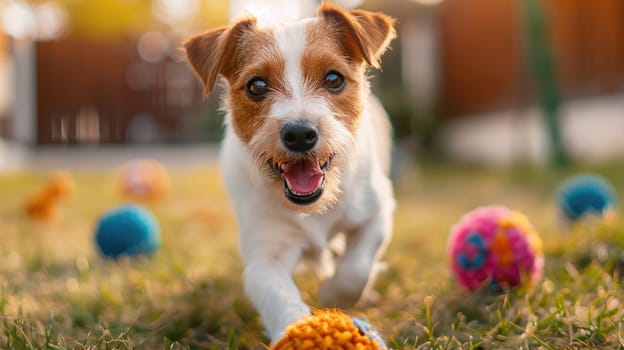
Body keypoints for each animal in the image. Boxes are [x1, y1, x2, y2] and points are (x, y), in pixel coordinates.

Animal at [184, 2, 394, 342]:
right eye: (257, 85)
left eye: (334, 78)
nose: (299, 134)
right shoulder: (265, 256)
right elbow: (280, 298)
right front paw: (301, 328)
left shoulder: (377, 214)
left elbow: (356, 268)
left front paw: (333, 295)